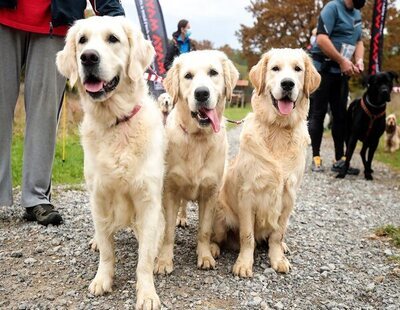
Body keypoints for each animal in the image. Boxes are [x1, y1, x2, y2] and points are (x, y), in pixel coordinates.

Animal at [55, 17, 165, 310]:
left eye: (113, 39)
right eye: (82, 40)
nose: (88, 57)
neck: (116, 122)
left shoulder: (148, 200)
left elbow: (145, 259)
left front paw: (147, 293)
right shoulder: (100, 195)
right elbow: (107, 247)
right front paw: (102, 279)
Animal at [154, 49, 239, 274]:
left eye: (213, 73)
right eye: (188, 76)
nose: (201, 93)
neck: (197, 138)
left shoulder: (210, 192)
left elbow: (205, 230)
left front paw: (205, 256)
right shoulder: (170, 189)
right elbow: (168, 231)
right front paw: (164, 260)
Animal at [211, 49, 320, 278]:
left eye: (298, 69)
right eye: (275, 68)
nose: (287, 84)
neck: (278, 129)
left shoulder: (288, 197)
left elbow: (277, 235)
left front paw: (278, 259)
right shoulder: (247, 195)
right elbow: (247, 236)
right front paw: (244, 264)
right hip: (220, 215)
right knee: (216, 236)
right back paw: (213, 248)